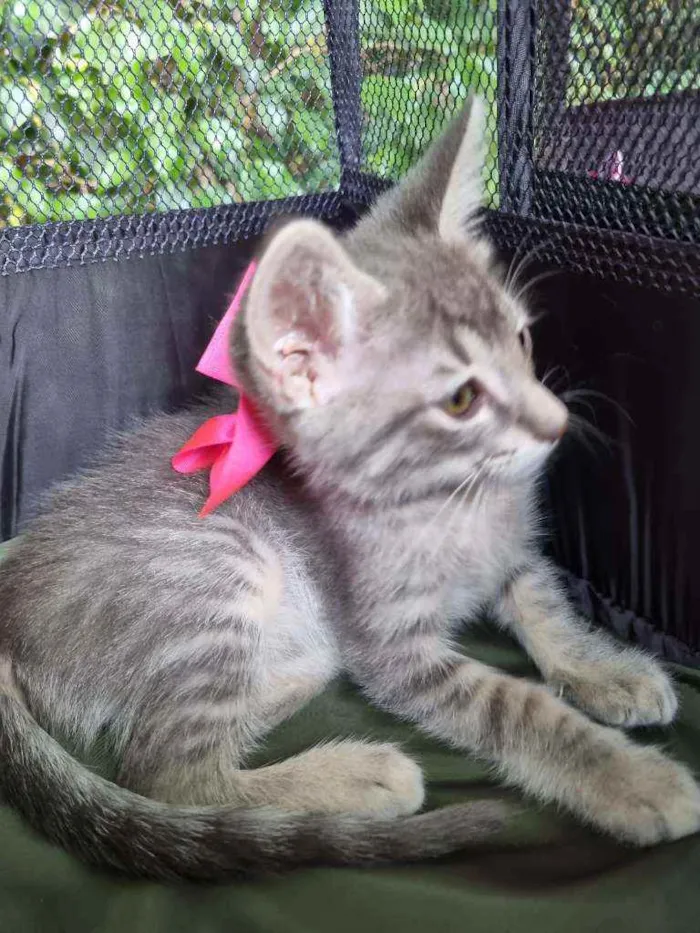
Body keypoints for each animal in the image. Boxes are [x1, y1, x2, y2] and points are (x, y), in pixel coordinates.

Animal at [0, 96, 698, 882]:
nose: (556, 423)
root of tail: (9, 608)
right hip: (214, 571)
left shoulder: (511, 552)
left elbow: (543, 602)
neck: (447, 499)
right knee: (172, 774)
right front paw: (631, 777)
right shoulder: (395, 649)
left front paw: (602, 668)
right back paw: (356, 774)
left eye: (520, 340)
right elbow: (513, 706)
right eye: (461, 399)